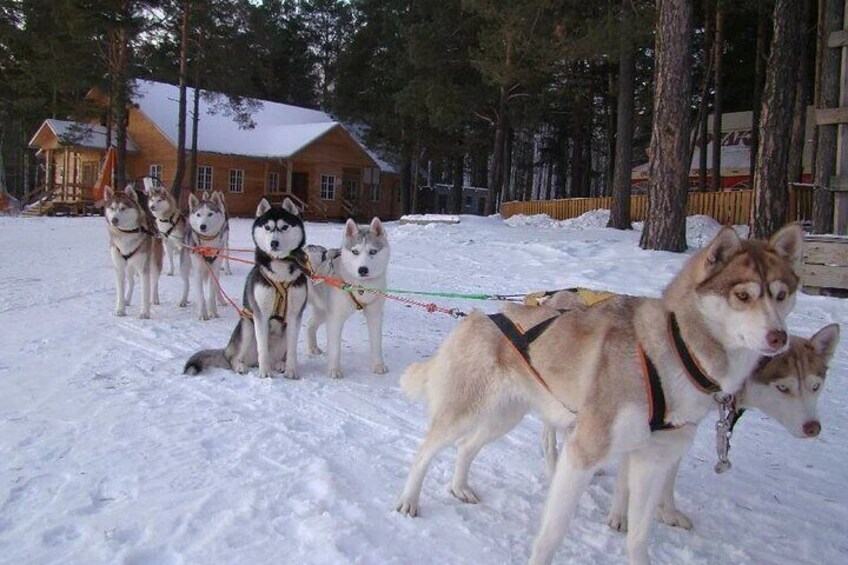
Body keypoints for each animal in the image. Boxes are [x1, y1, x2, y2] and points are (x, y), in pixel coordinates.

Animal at [103, 185, 163, 318]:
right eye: (112, 208)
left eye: (123, 208)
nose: (114, 220)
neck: (126, 234)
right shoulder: (119, 267)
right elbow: (120, 291)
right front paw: (120, 309)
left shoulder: (144, 268)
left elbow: (145, 293)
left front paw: (145, 313)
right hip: (129, 266)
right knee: (131, 282)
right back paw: (127, 299)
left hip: (155, 263)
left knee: (155, 282)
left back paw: (155, 298)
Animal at [187, 192, 229, 320]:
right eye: (198, 214)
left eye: (210, 214)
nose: (202, 226)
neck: (208, 245)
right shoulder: (198, 271)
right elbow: (201, 295)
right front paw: (203, 314)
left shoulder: (214, 269)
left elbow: (211, 293)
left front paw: (213, 312)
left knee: (216, 288)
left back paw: (220, 299)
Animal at [304, 217, 390, 378]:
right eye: (355, 251)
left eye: (373, 251)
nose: (363, 269)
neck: (360, 287)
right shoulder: (335, 317)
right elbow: (335, 348)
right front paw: (334, 370)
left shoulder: (375, 313)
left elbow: (376, 343)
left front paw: (378, 365)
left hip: (322, 310)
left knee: (311, 323)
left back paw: (313, 348)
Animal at [396, 225, 800, 564]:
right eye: (743, 295)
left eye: (782, 295)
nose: (779, 337)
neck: (674, 350)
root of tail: (477, 316)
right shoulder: (581, 454)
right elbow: (551, 536)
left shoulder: (651, 462)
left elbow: (638, 538)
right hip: (465, 412)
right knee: (424, 452)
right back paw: (409, 501)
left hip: (503, 417)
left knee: (466, 447)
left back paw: (459, 488)